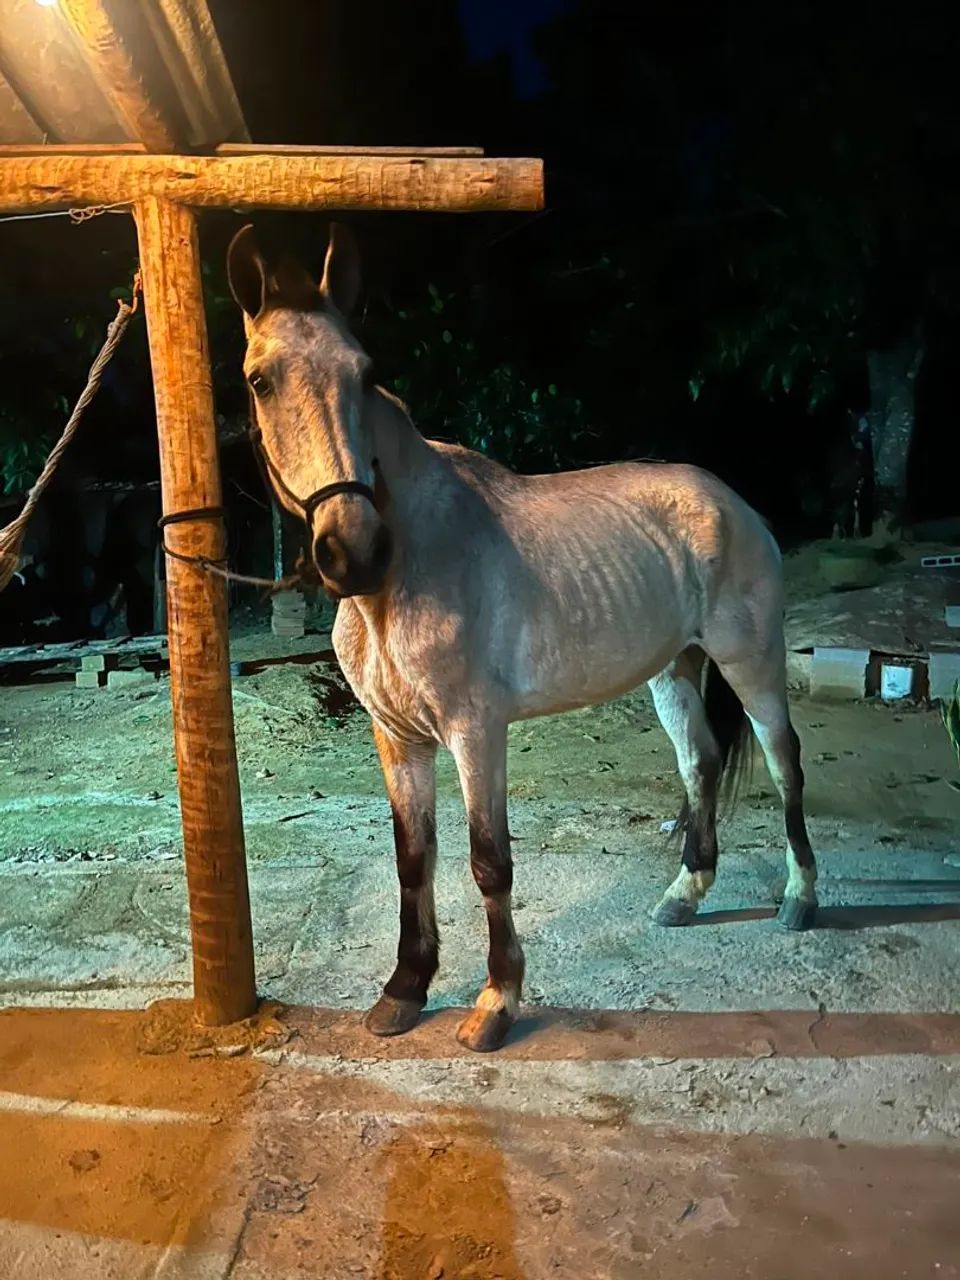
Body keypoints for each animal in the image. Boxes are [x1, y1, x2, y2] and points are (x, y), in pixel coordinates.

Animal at [227, 224, 818, 1054]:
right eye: (259, 380)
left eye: (365, 373)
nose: (354, 550)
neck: (406, 570)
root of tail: (736, 504)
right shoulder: (397, 737)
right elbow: (414, 858)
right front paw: (403, 990)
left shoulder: (476, 732)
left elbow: (487, 861)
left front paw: (496, 1002)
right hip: (674, 668)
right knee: (699, 762)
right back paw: (684, 892)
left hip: (750, 660)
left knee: (784, 760)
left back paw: (801, 899)